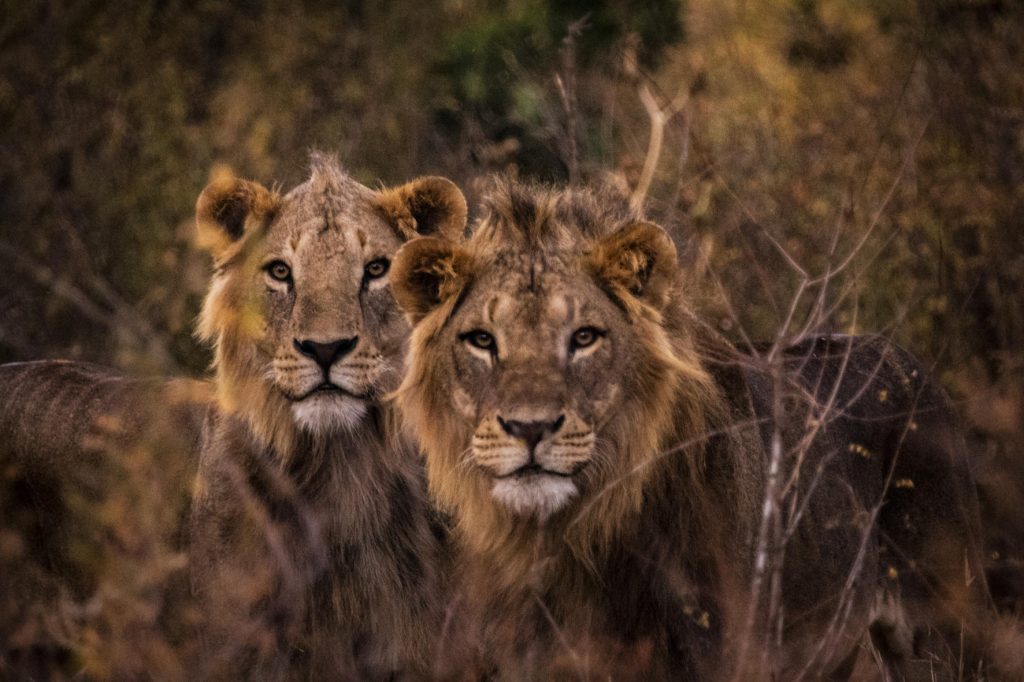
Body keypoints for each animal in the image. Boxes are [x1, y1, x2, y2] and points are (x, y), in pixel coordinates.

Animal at [389, 178, 991, 675]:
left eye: (584, 337)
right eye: (482, 340)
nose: (530, 428)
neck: (574, 539)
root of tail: (910, 362)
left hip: (946, 626)